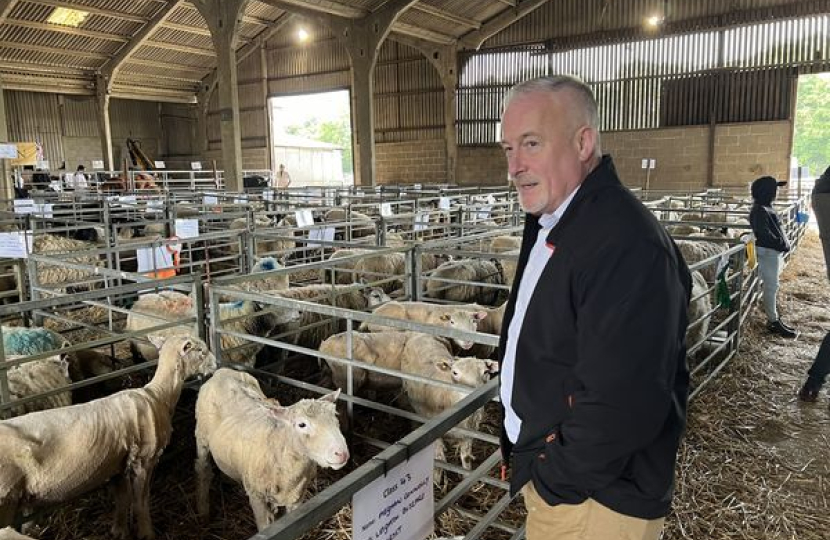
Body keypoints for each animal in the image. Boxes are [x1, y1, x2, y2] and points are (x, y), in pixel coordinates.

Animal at [0, 336, 218, 536]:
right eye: (201, 351)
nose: (216, 365)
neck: (158, 395)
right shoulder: (144, 460)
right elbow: (140, 502)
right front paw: (147, 534)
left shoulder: (118, 464)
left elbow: (122, 499)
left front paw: (119, 531)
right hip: (6, 497)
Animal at [195, 370, 348, 528]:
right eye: (302, 424)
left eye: (336, 418)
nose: (341, 453)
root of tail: (222, 371)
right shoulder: (257, 496)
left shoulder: (297, 498)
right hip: (202, 435)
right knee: (203, 469)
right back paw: (203, 512)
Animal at [400, 332, 498, 474]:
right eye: (455, 372)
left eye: (485, 372)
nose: (471, 394)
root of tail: (419, 333)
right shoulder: (433, 435)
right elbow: (440, 461)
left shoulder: (470, 432)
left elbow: (466, 458)